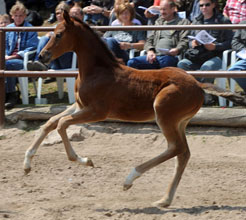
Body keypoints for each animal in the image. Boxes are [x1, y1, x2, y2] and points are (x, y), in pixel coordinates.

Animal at [24, 11, 246, 208]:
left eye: (59, 34)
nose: (42, 56)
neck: (97, 71)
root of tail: (198, 85)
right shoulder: (79, 105)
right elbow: (50, 122)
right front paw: (26, 164)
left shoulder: (97, 111)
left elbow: (61, 124)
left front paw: (85, 160)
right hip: (180, 122)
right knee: (183, 153)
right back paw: (165, 200)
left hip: (163, 114)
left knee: (175, 148)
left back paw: (130, 179)